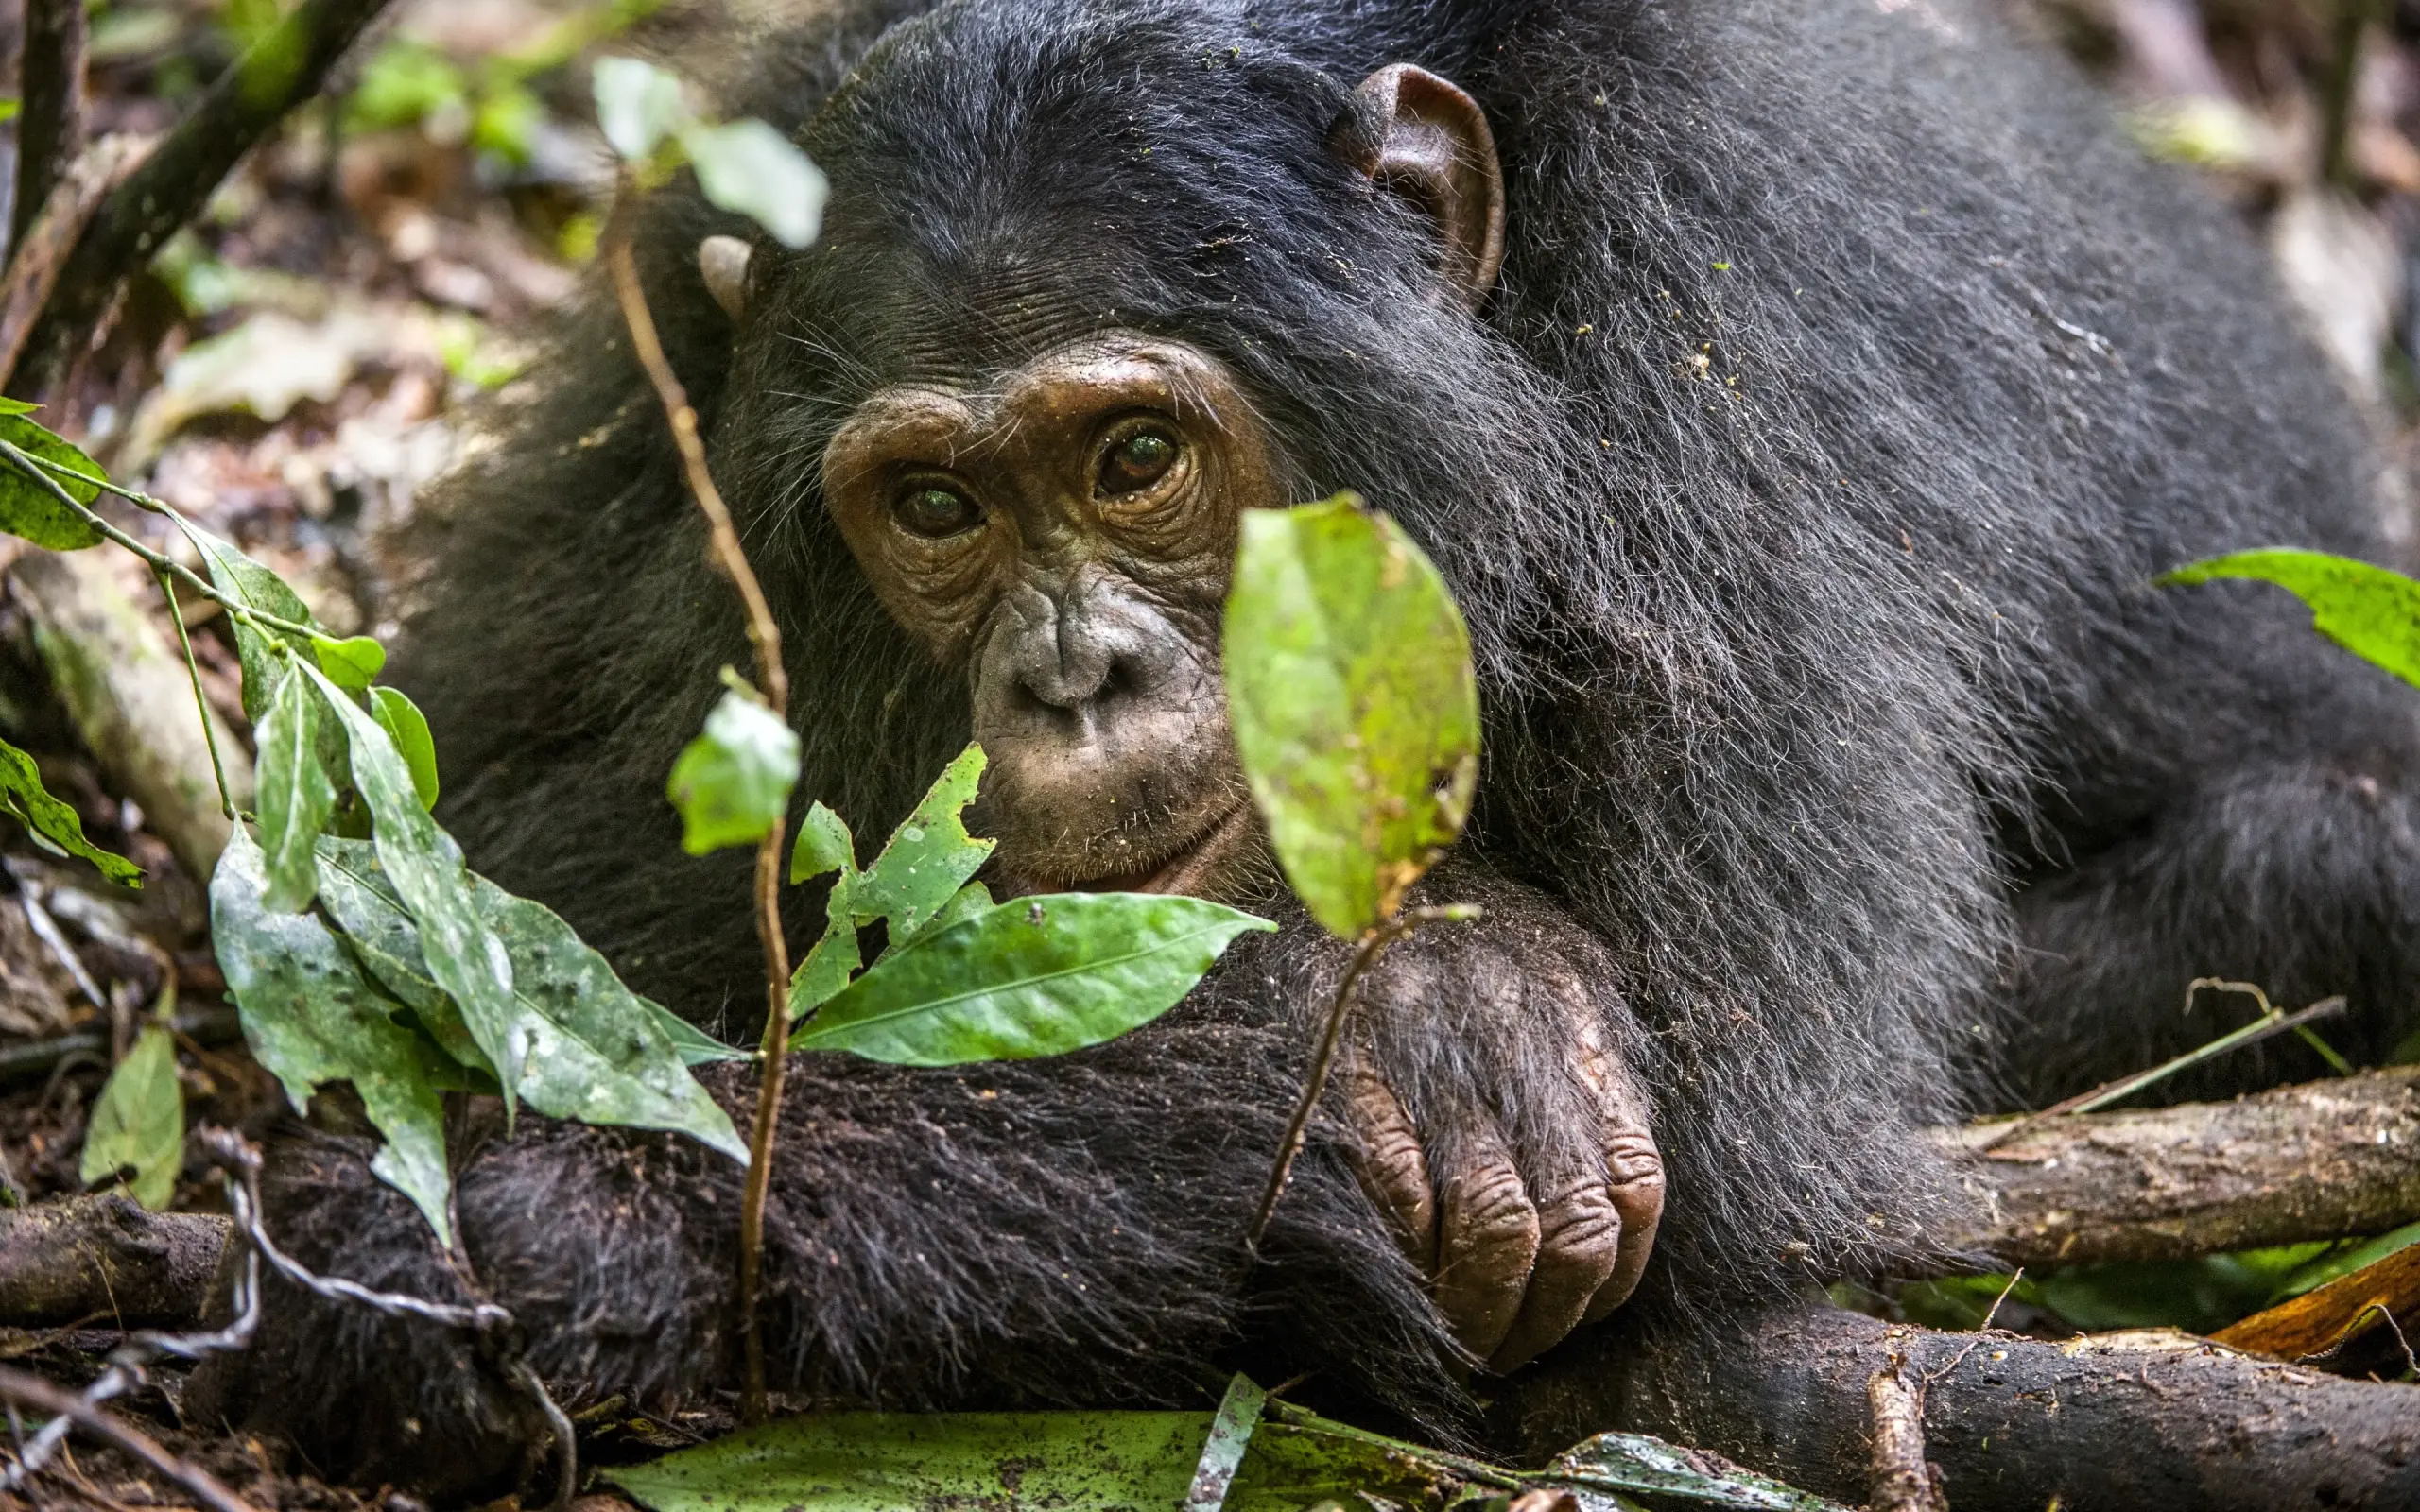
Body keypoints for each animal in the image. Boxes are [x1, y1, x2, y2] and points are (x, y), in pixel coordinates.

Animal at [186, 0, 2420, 1496]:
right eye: (937, 507)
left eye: (1134, 458)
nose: (1073, 675)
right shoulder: (645, 426)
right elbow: (524, 864)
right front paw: (1445, 1020)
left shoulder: (1722, 383)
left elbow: (1751, 1133)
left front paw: (548, 1222)